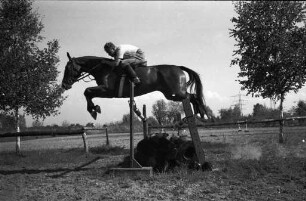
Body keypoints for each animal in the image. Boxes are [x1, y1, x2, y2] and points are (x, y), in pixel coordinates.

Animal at [62, 52, 210, 121]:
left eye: (68, 68)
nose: (64, 85)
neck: (103, 69)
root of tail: (178, 67)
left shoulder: (108, 91)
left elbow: (87, 91)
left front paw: (93, 110)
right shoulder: (105, 92)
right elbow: (88, 93)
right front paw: (94, 108)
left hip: (176, 92)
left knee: (193, 96)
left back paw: (200, 114)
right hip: (171, 94)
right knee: (192, 97)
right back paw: (199, 114)